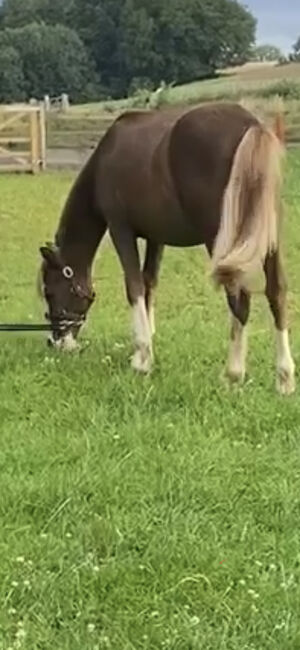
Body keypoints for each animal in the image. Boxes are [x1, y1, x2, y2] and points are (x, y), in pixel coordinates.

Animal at [39, 102, 296, 394]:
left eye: (49, 291)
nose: (57, 341)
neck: (107, 158)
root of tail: (251, 125)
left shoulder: (120, 229)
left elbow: (135, 286)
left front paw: (141, 358)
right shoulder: (156, 238)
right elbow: (150, 282)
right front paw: (146, 342)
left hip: (220, 241)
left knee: (239, 299)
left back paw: (233, 373)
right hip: (266, 241)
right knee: (276, 292)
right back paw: (284, 378)